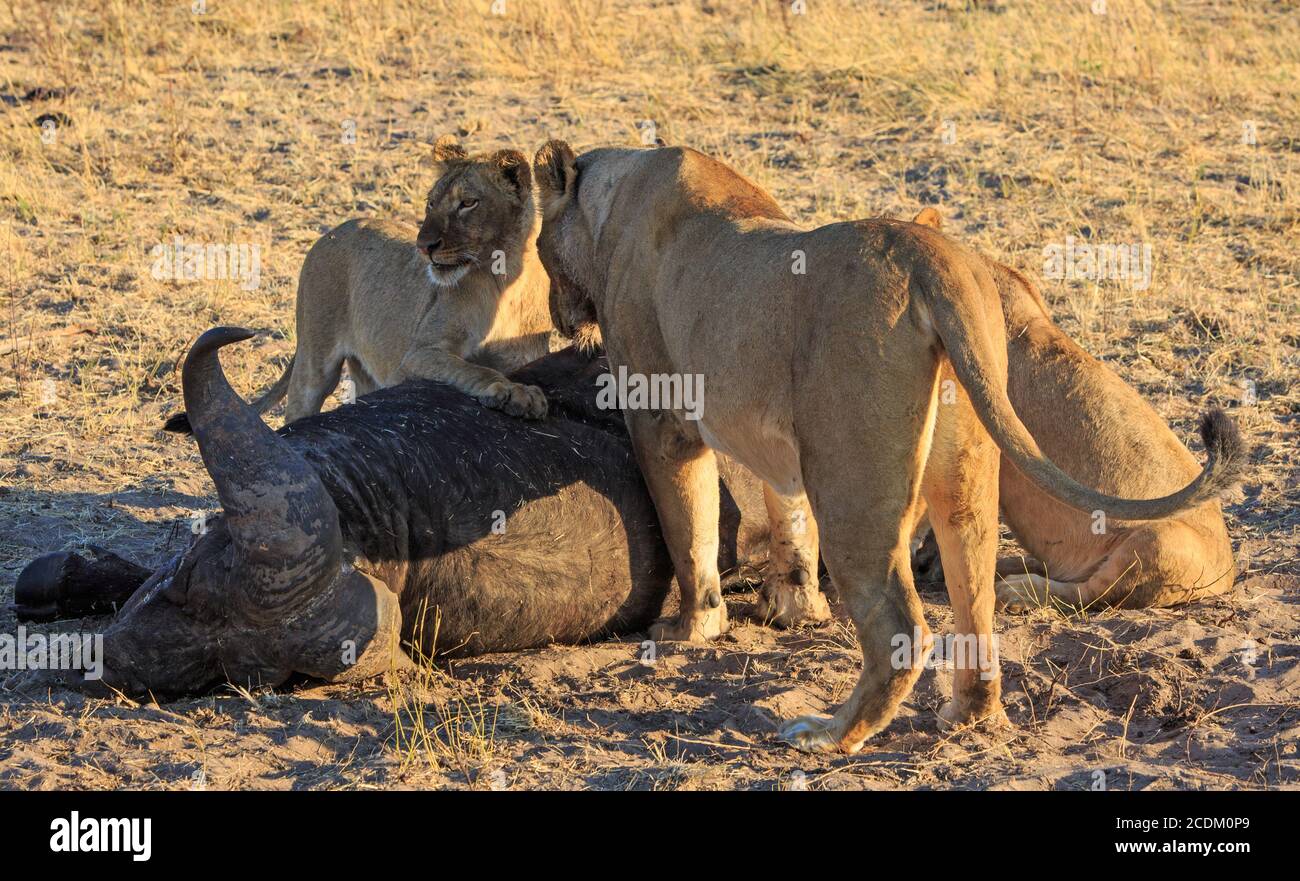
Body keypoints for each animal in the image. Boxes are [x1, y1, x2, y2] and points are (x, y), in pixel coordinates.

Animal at [533, 142, 1242, 753]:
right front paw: (794, 606)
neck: (612, 200)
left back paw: (829, 735)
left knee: (903, 626)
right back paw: (970, 711)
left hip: (853, 479)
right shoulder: (782, 442)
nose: (558, 316)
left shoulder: (661, 422)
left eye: (536, 245)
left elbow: (691, 535)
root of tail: (929, 258)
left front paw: (690, 628)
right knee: (975, 602)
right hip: (963, 478)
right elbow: (789, 520)